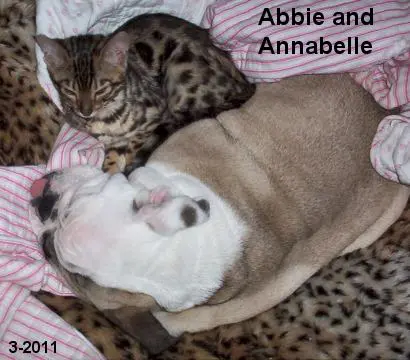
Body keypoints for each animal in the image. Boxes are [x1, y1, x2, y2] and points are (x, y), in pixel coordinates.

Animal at [35, 11, 255, 174]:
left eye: (102, 89)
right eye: (69, 90)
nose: (85, 112)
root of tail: (245, 84)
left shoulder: (158, 112)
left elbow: (136, 142)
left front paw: (127, 163)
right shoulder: (111, 138)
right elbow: (112, 154)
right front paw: (110, 174)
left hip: (180, 72)